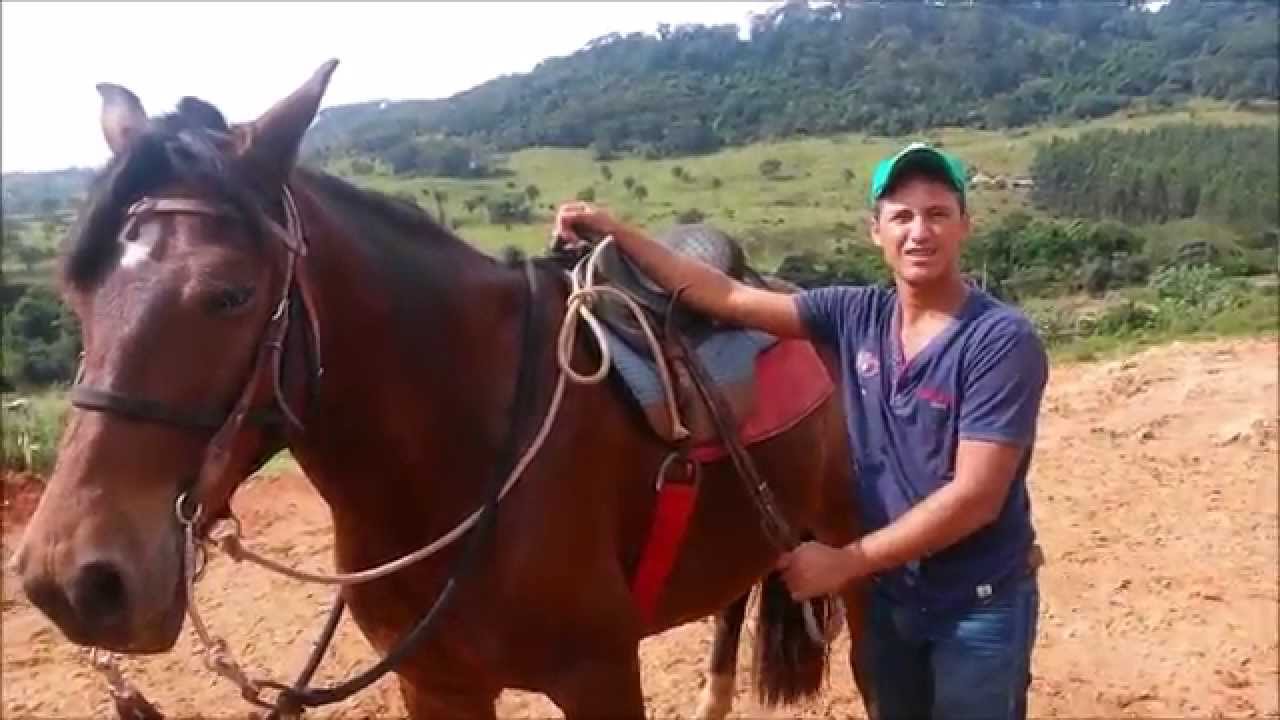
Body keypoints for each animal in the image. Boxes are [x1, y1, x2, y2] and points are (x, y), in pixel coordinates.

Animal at [13, 60, 871, 719]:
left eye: (229, 294)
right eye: (75, 292)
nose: (72, 580)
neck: (464, 448)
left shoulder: (598, 677)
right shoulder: (437, 686)